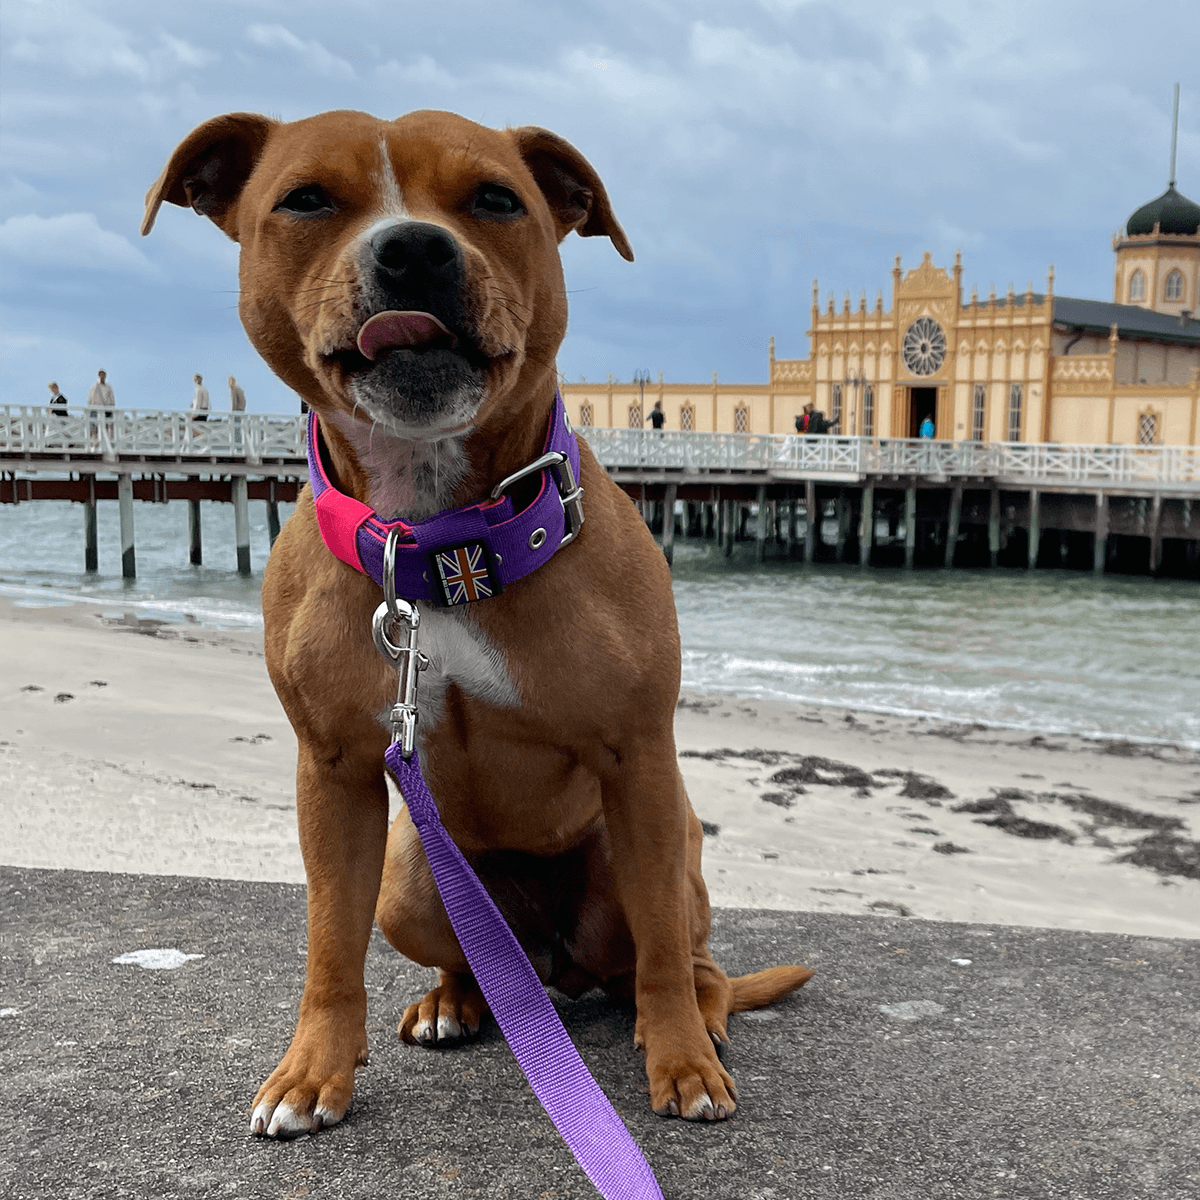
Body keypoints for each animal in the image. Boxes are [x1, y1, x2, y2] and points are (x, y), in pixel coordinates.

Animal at [142, 108, 816, 1137]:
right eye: (305, 198)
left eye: (497, 199)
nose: (413, 248)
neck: (438, 539)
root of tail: (557, 971)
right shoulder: (331, 774)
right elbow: (329, 944)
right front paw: (312, 1071)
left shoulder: (641, 760)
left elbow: (664, 945)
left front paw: (682, 1063)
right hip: (414, 881)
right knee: (474, 958)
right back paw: (454, 1002)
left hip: (646, 854)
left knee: (680, 954)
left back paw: (696, 1016)